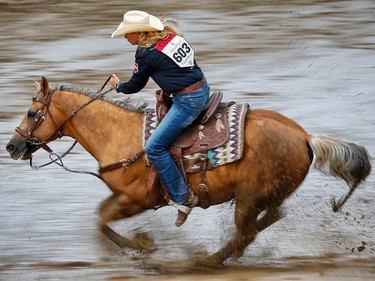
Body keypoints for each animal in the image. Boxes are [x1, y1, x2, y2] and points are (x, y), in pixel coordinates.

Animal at [5, 77, 374, 262]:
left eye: (32, 112)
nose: (11, 146)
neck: (119, 135)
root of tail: (305, 138)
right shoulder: (124, 197)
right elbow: (99, 218)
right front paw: (141, 244)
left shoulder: (136, 199)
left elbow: (100, 220)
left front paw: (144, 244)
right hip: (266, 196)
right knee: (267, 221)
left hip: (248, 198)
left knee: (247, 232)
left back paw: (208, 261)